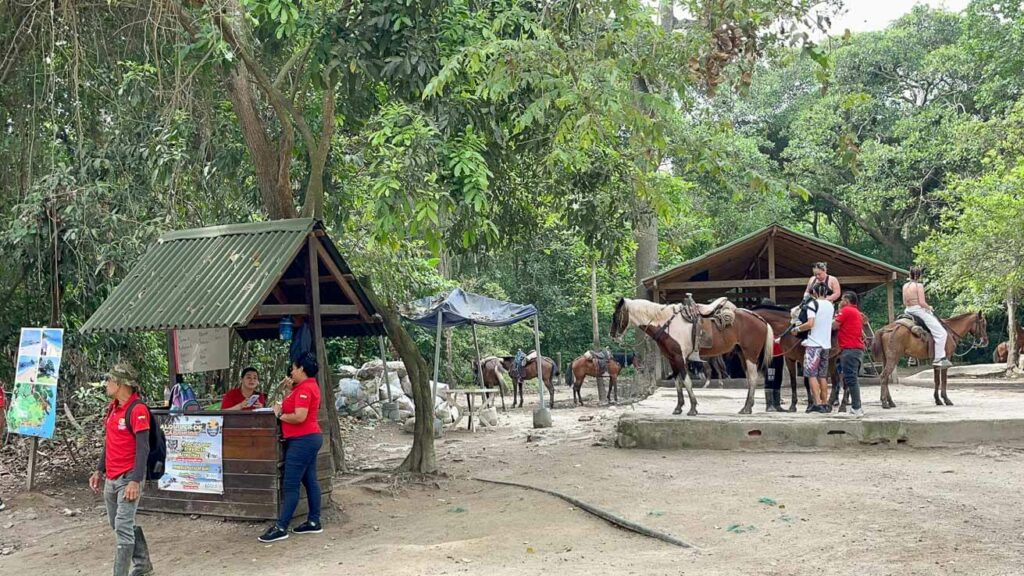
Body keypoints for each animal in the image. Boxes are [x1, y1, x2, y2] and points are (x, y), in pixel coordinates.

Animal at [610, 295, 770, 412]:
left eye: (616, 315)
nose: (612, 335)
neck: (666, 323)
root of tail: (761, 320)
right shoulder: (671, 358)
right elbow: (677, 381)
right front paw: (678, 408)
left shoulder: (679, 357)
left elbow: (686, 380)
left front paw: (692, 408)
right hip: (742, 354)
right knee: (749, 378)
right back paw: (746, 407)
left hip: (750, 355)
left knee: (753, 378)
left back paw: (747, 408)